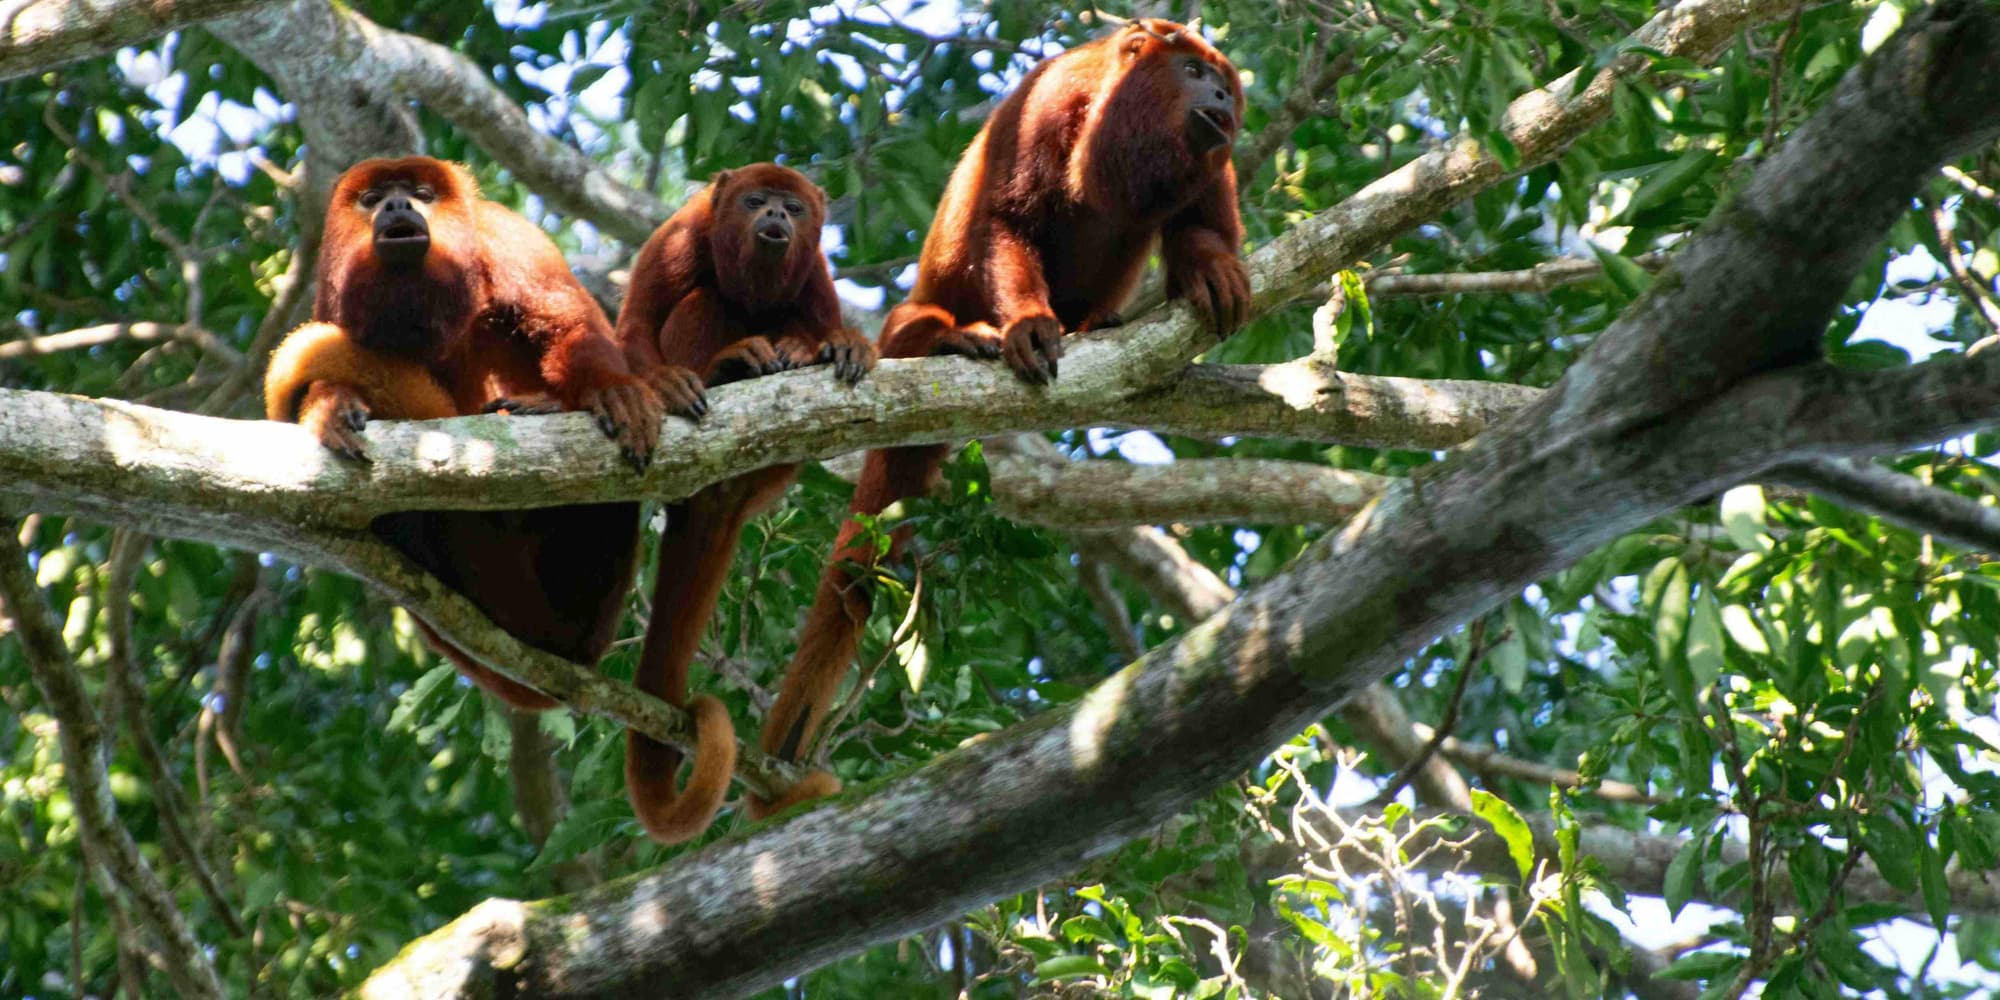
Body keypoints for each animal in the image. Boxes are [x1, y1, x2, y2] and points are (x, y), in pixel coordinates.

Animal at [264, 155, 670, 711]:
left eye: (420, 193)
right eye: (372, 199)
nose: (396, 204)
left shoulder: (508, 236)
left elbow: (568, 321)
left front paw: (611, 389)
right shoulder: (331, 293)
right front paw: (331, 404)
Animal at [614, 162, 876, 843]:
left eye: (794, 208)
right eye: (755, 201)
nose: (776, 217)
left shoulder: (816, 272)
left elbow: (823, 322)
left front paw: (843, 344)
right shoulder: (679, 237)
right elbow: (636, 326)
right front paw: (665, 382)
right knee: (704, 301)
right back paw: (726, 367)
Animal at [758, 20, 1251, 809]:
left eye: (1223, 82)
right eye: (1191, 71)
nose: (1222, 99)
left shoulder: (1215, 160)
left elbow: (1201, 225)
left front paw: (1207, 265)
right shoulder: (1047, 105)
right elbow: (1006, 220)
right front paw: (1026, 325)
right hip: (907, 321)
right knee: (913, 322)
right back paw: (944, 337)